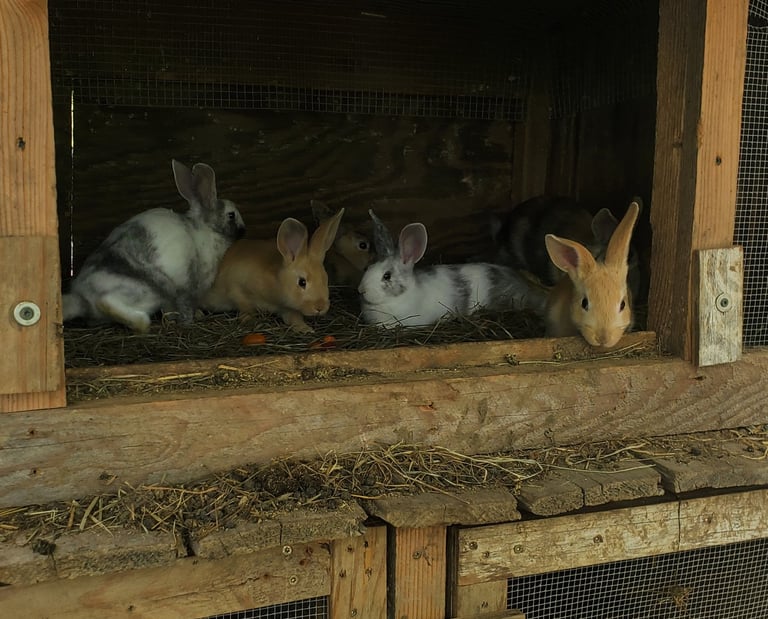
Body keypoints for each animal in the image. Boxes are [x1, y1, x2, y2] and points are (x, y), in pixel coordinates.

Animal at [62, 159, 246, 333]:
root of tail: (81, 298)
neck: (205, 229)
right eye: (231, 215)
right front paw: (188, 322)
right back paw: (143, 322)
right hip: (148, 291)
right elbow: (185, 307)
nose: (244, 230)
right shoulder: (186, 288)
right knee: (106, 302)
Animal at [201, 208, 345, 333]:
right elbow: (245, 307)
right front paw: (251, 321)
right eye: (302, 282)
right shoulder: (236, 287)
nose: (320, 307)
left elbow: (294, 318)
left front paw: (305, 329)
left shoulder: (286, 308)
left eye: (325, 279)